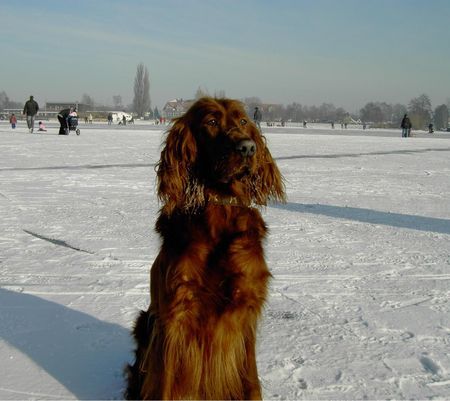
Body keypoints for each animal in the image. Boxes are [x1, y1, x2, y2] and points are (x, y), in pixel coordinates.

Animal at [125, 97, 284, 400]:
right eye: (211, 122)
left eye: (243, 121)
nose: (248, 147)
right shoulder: (175, 314)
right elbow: (165, 387)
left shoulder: (246, 310)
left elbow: (251, 383)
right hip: (145, 323)